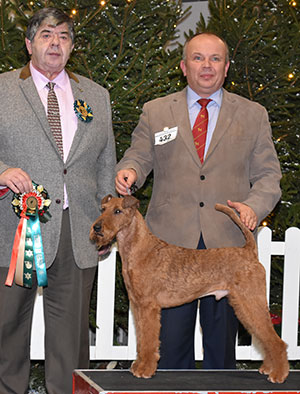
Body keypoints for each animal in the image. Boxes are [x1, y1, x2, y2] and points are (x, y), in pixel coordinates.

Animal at [90, 195, 290, 384]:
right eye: (103, 209)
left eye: (117, 211)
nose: (96, 228)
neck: (138, 250)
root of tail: (249, 251)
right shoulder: (138, 306)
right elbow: (141, 340)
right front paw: (139, 366)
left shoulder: (148, 307)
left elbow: (149, 341)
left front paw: (145, 370)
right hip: (245, 306)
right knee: (266, 338)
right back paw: (268, 368)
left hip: (251, 302)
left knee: (277, 341)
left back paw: (278, 375)